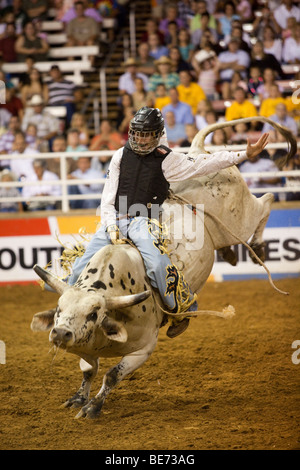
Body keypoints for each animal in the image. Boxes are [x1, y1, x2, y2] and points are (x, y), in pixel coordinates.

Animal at [29, 116, 296, 418]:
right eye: (59, 309)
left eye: (93, 313)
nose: (60, 333)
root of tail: (198, 150)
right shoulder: (84, 347)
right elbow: (89, 370)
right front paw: (78, 398)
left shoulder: (143, 349)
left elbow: (112, 375)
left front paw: (94, 406)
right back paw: (230, 253)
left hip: (240, 219)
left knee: (268, 200)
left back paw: (259, 244)